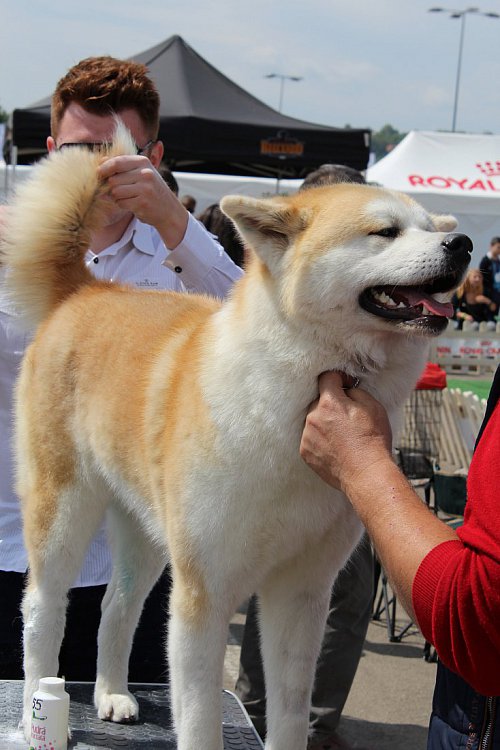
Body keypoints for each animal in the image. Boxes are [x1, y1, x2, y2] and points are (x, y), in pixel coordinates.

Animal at [0, 125, 470, 750]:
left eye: (431, 227)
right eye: (384, 231)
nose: (463, 243)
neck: (294, 399)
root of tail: (86, 290)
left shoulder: (300, 593)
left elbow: (291, 710)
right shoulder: (205, 592)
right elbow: (200, 718)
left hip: (146, 536)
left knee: (115, 608)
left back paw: (112, 695)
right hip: (64, 516)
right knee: (42, 610)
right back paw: (39, 706)